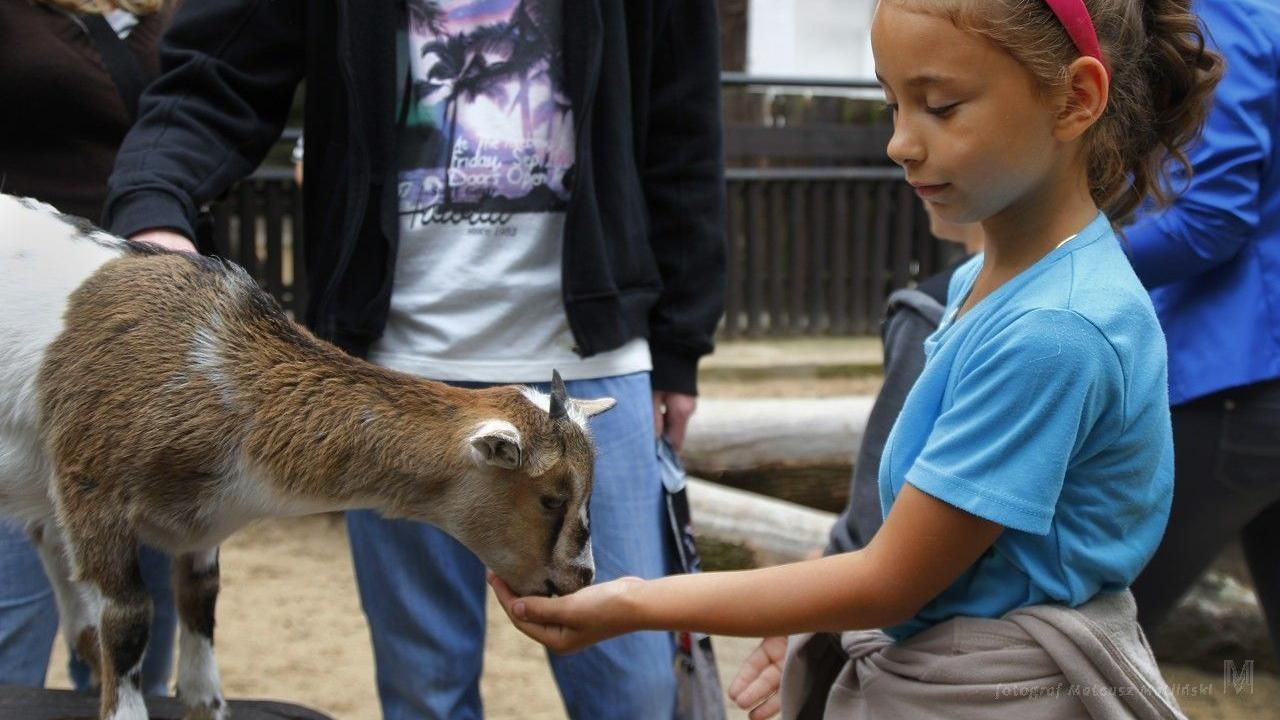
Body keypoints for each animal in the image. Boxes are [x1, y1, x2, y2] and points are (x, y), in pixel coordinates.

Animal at [0, 193, 614, 712]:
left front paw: (206, 701)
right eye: (550, 498)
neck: (217, 371)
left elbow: (200, 601)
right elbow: (129, 620)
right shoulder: (90, 487)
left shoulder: (198, 525)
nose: (580, 578)